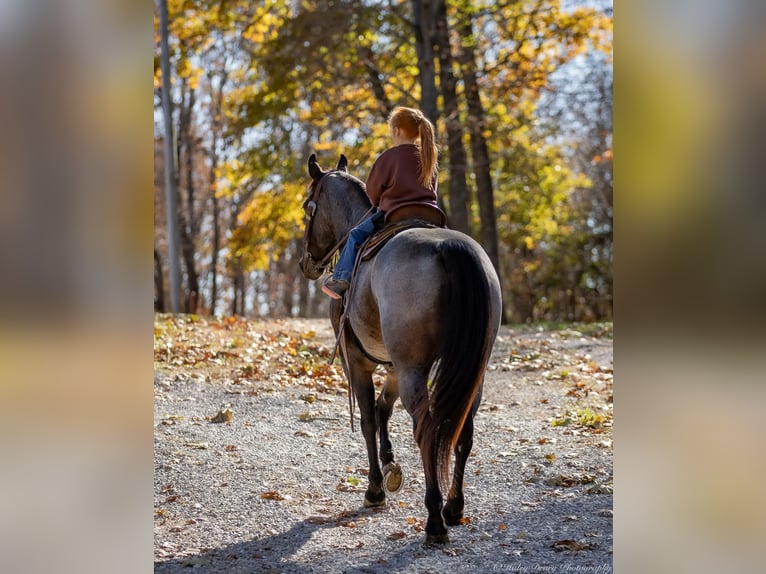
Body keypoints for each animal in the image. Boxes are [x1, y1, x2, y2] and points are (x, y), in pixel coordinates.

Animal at [298, 153, 502, 544]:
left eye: (306, 207)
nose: (306, 265)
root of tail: (449, 248)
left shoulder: (357, 362)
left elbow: (367, 418)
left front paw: (375, 488)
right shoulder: (392, 366)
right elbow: (383, 409)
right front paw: (391, 465)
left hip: (413, 370)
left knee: (427, 429)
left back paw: (434, 520)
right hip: (473, 372)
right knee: (462, 431)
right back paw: (454, 508)